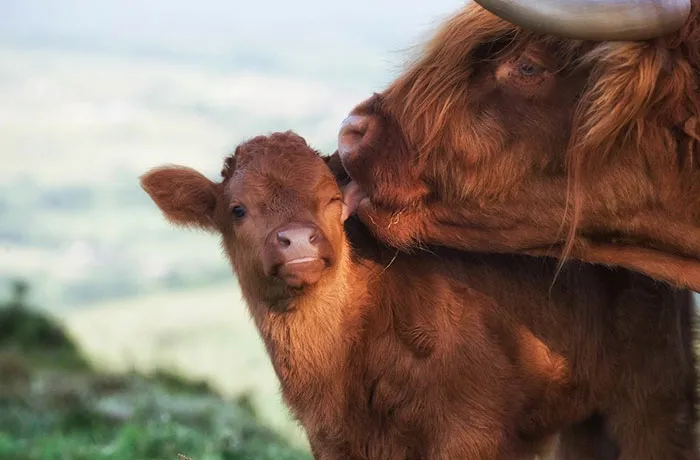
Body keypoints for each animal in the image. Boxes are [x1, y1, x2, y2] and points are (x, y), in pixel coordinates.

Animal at [140, 131, 698, 459]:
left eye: (333, 200)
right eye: (237, 209)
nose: (297, 240)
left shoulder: (468, 430)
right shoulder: (332, 440)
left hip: (656, 392)